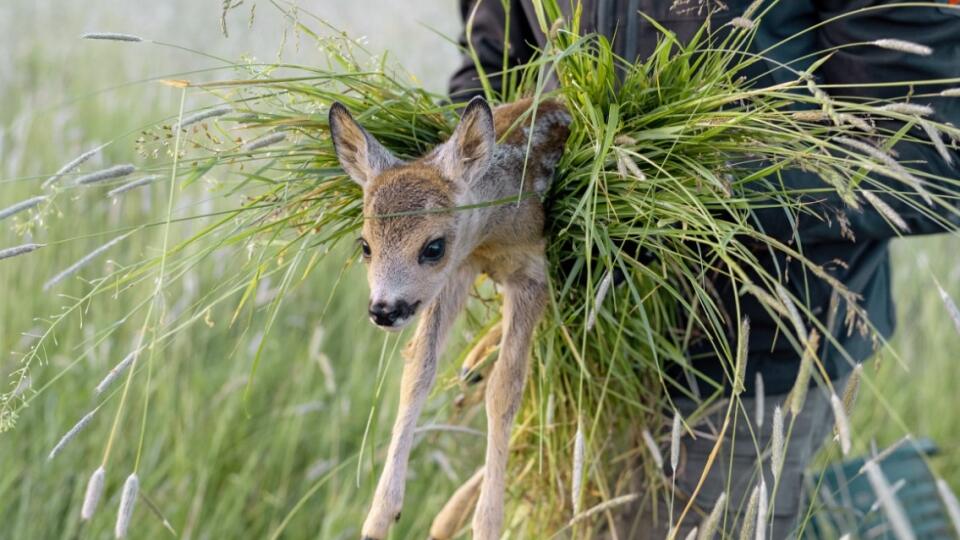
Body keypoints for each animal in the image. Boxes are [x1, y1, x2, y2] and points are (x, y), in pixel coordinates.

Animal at [330, 95, 568, 536]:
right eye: (365, 245)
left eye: (434, 246)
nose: (384, 310)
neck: (494, 235)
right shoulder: (459, 271)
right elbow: (417, 372)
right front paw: (379, 515)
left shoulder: (533, 275)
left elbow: (506, 391)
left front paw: (488, 525)